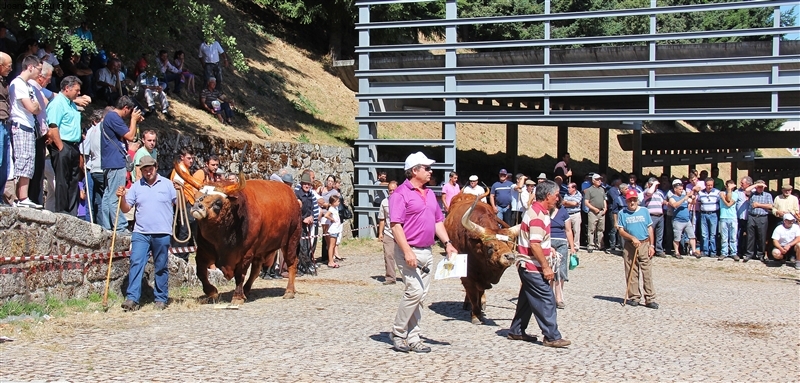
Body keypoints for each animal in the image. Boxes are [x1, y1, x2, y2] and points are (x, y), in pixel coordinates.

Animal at [173, 165, 302, 306]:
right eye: (197, 196)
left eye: (218, 202)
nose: (197, 206)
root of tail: (292, 196)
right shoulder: (203, 251)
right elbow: (200, 272)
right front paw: (212, 292)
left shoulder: (245, 254)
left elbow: (240, 275)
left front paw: (237, 297)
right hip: (261, 248)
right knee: (256, 269)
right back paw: (246, 290)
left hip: (291, 240)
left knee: (292, 263)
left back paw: (289, 291)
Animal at [444, 194, 520, 326]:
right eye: (490, 246)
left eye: (510, 245)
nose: (509, 257)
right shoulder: (467, 274)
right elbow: (472, 293)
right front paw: (476, 315)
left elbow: (480, 290)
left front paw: (480, 307)